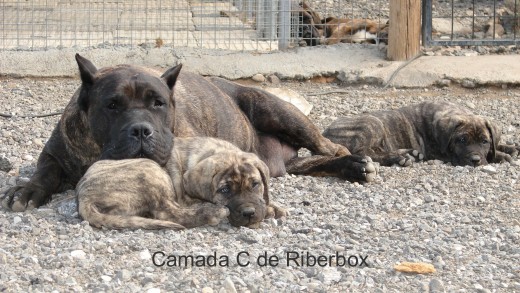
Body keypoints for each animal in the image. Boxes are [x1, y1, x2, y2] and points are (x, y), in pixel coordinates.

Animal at [76, 136, 286, 229]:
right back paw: (211, 213)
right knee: (168, 212)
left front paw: (272, 206)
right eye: (225, 190)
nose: (249, 213)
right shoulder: (187, 197)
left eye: (255, 184)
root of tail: (84, 197)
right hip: (151, 171)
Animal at [322, 101, 516, 167]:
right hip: (372, 123)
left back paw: (408, 154)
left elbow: (497, 143)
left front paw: (510, 147)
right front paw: (501, 155)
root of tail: (325, 133)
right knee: (364, 152)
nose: (475, 160)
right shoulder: (439, 152)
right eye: (462, 140)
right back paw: (400, 158)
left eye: (484, 141)